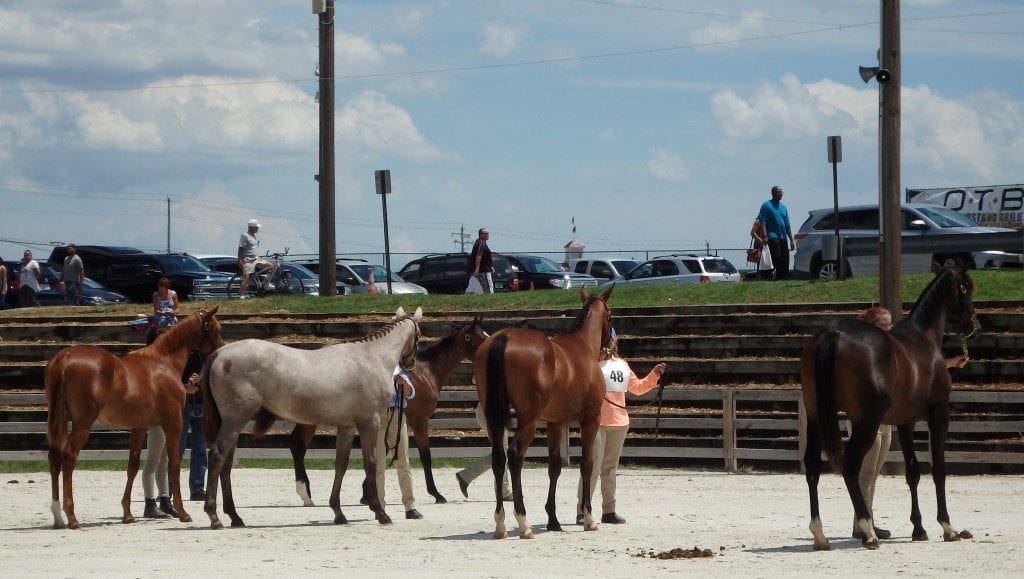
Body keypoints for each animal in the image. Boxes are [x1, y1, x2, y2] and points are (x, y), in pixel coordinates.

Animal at [44, 307, 224, 528]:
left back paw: (57, 516)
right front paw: (182, 512)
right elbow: (174, 464)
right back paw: (71, 516)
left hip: (58, 421)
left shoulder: (139, 428)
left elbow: (133, 466)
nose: (220, 351)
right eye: (216, 328)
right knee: (69, 458)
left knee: (54, 458)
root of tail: (65, 356)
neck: (164, 362)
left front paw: (127, 514)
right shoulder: (174, 423)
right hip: (82, 425)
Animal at [197, 307, 421, 528]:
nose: (410, 364)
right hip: (234, 421)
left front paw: (338, 513)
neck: (371, 358)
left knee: (226, 465)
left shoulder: (346, 426)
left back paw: (235, 517)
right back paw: (214, 517)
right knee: (217, 457)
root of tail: (219, 354)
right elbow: (371, 464)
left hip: (232, 425)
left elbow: (341, 464)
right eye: (418, 336)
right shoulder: (369, 422)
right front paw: (380, 512)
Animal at [256, 315, 491, 506]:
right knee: (297, 445)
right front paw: (436, 494)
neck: (425, 372)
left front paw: (366, 493)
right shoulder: (420, 420)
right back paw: (306, 494)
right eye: (480, 337)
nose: (489, 349)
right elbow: (425, 456)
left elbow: (383, 452)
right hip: (310, 420)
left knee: (296, 444)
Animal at [475, 286, 610, 541]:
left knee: (498, 458)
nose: (613, 342)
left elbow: (554, 467)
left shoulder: (555, 423)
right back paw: (523, 522)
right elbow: (586, 464)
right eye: (611, 314)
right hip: (528, 421)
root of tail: (503, 337)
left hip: (494, 420)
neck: (582, 345)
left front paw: (553, 520)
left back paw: (500, 523)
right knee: (515, 456)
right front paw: (588, 518)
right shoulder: (590, 420)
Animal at [798, 268, 974, 549]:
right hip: (866, 424)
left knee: (813, 465)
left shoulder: (905, 422)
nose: (971, 322)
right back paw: (868, 531)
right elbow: (938, 469)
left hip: (816, 417)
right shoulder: (939, 415)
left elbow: (913, 471)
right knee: (850, 464)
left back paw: (820, 534)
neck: (923, 337)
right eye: (966, 287)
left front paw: (918, 529)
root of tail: (833, 334)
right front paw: (947, 527)